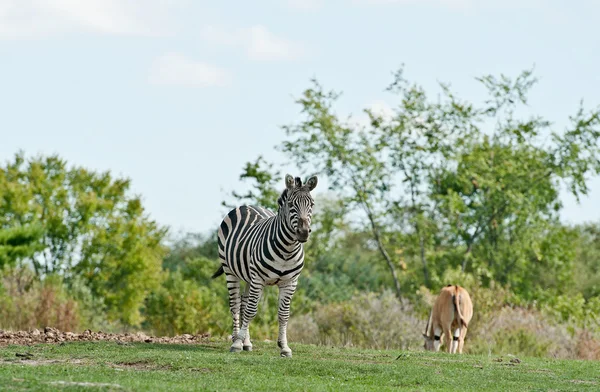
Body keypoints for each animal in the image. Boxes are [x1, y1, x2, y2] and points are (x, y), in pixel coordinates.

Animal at [213, 173, 318, 356]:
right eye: (291, 204)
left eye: (311, 204)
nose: (303, 232)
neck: (287, 250)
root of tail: (247, 205)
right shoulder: (259, 278)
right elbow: (251, 310)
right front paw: (237, 343)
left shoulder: (290, 282)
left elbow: (284, 314)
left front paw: (284, 347)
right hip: (230, 270)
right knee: (236, 305)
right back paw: (236, 339)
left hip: (248, 275)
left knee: (244, 302)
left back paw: (246, 342)